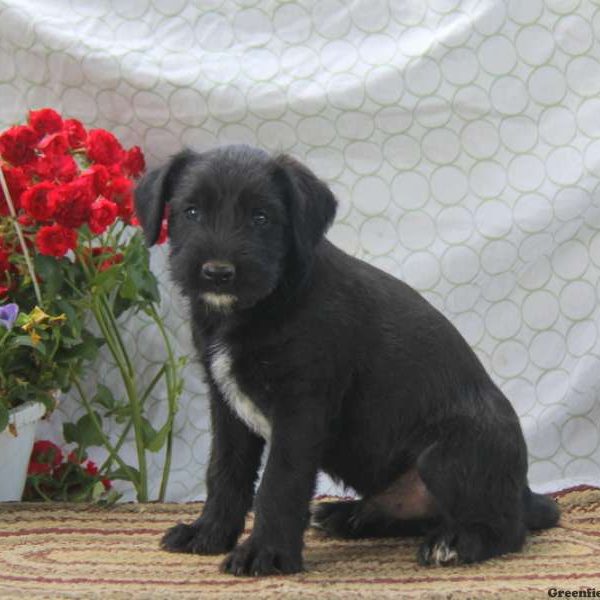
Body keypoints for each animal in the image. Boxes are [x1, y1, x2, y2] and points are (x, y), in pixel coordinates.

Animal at [134, 144, 560, 576]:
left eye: (261, 217)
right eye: (191, 211)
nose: (218, 273)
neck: (262, 306)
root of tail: (524, 492)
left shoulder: (300, 408)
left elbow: (279, 482)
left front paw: (265, 552)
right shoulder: (227, 407)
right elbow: (224, 472)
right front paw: (208, 534)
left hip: (449, 455)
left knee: (507, 527)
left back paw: (456, 542)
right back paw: (348, 516)